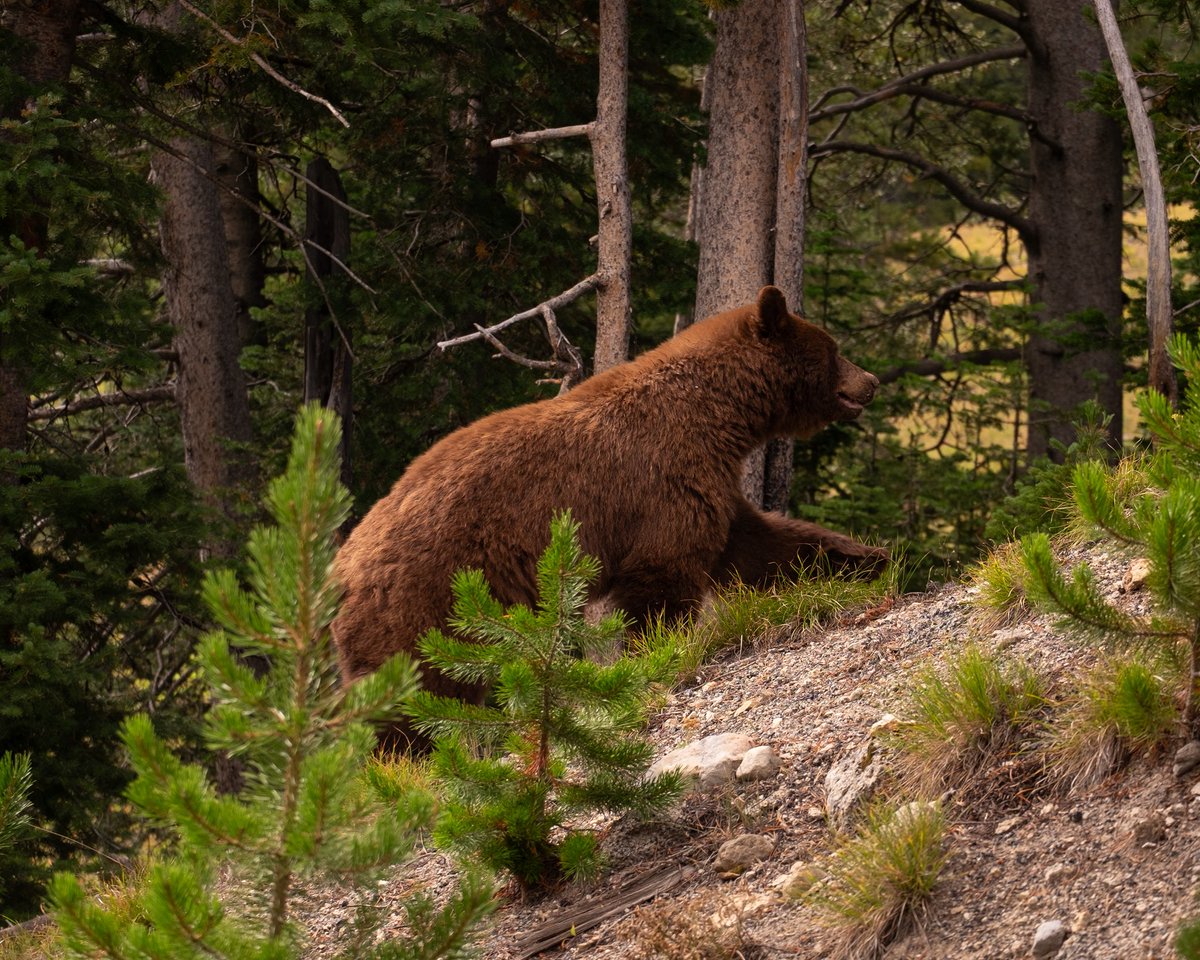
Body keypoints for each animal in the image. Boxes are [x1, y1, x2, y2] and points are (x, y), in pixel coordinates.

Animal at [332, 285, 886, 706]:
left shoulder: (712, 488)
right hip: (426, 601)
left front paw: (873, 557)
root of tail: (340, 565)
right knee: (412, 685)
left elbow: (762, 544)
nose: (872, 380)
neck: (721, 417)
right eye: (833, 350)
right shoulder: (661, 483)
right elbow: (662, 581)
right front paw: (663, 650)